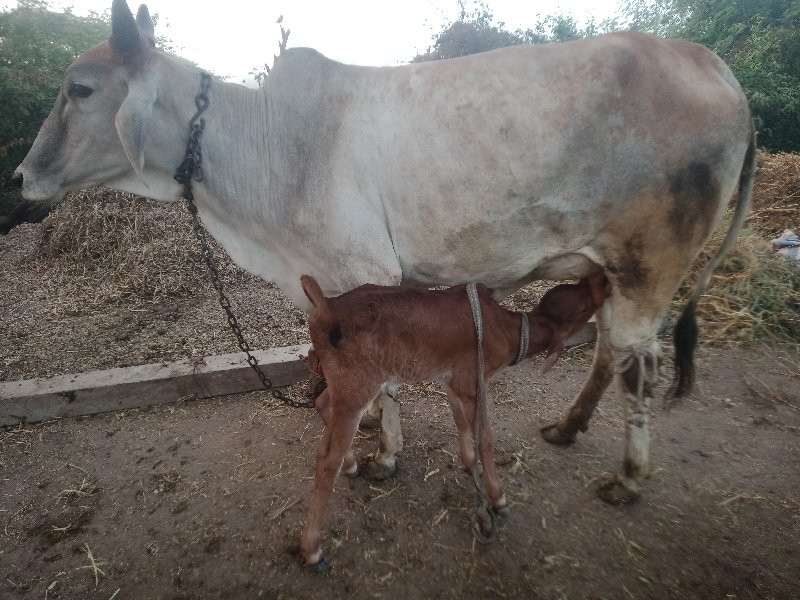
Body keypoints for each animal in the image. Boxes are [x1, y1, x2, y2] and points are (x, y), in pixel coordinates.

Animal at [17, 0, 756, 506]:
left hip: (648, 268)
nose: (22, 177)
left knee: (640, 366)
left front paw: (381, 455)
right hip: (611, 272)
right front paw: (372, 438)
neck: (268, 146)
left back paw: (628, 478)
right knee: (610, 352)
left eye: (80, 88)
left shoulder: (364, 276)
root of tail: (714, 67)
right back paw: (568, 429)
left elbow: (384, 380)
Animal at [298, 274, 608, 568]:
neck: (505, 328)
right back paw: (312, 548)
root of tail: (326, 309)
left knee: (322, 403)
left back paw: (350, 463)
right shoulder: (473, 382)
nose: (599, 281)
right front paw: (497, 497)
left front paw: (470, 464)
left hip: (346, 385)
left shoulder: (453, 380)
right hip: (357, 386)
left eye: (570, 288)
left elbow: (461, 421)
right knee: (327, 457)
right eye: (583, 307)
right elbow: (485, 437)